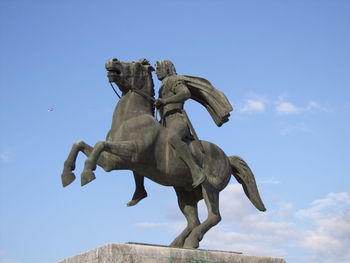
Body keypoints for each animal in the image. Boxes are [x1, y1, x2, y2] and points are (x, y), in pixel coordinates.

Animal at [60, 57, 266, 250]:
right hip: (184, 194)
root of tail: (227, 158)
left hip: (210, 189)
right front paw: (67, 175)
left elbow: (99, 144)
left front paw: (86, 174)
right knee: (194, 221)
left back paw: (191, 240)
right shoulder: (113, 162)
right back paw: (177, 243)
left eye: (136, 63)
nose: (112, 60)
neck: (131, 118)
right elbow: (82, 144)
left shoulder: (131, 154)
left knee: (214, 217)